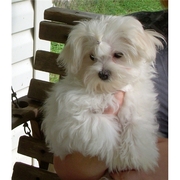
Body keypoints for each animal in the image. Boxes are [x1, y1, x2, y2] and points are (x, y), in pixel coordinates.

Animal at [41, 14, 164, 177]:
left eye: (118, 55)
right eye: (92, 57)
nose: (103, 74)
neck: (106, 91)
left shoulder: (137, 106)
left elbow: (136, 127)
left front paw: (137, 158)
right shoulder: (73, 116)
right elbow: (102, 128)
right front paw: (116, 158)